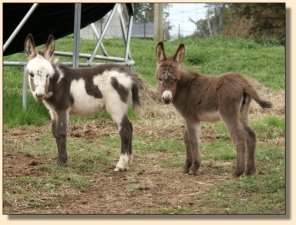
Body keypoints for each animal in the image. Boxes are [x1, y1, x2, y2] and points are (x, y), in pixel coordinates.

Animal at [156, 41, 272, 176]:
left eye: (175, 79)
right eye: (159, 79)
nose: (166, 98)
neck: (184, 87)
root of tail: (244, 83)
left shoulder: (191, 118)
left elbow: (193, 140)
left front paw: (194, 168)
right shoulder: (187, 119)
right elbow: (186, 139)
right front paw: (186, 167)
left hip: (228, 113)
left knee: (239, 137)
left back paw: (238, 171)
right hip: (242, 113)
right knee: (251, 135)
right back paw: (250, 170)